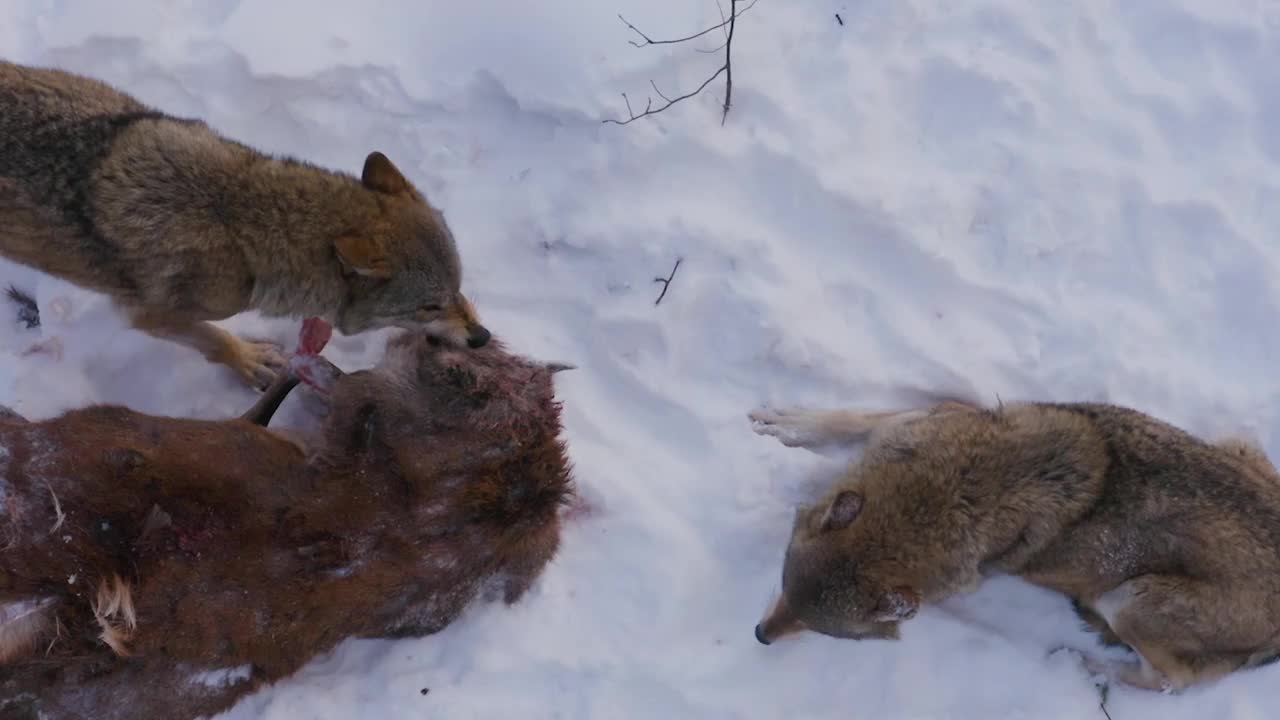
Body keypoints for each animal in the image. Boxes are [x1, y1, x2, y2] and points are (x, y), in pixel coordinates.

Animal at [0, 60, 488, 386]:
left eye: (457, 289)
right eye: (429, 306)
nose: (481, 337)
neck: (239, 218)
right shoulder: (149, 315)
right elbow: (213, 339)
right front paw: (248, 360)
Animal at [747, 397, 1280, 691]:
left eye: (825, 632)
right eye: (783, 589)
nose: (759, 636)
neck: (955, 493)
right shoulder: (930, 418)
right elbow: (851, 420)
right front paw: (789, 424)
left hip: (1128, 598)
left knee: (1173, 682)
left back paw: (1085, 669)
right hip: (1237, 442)